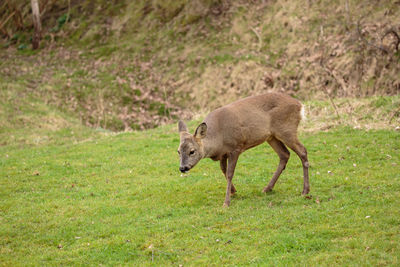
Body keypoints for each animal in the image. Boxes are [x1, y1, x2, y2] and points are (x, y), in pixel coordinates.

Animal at [177, 93, 310, 208]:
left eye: (192, 151)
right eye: (178, 151)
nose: (182, 168)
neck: (218, 138)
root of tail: (300, 105)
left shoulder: (235, 147)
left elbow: (230, 173)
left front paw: (226, 202)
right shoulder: (223, 154)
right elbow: (223, 170)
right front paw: (233, 191)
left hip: (287, 129)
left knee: (302, 151)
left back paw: (305, 191)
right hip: (272, 136)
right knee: (284, 154)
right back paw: (267, 188)